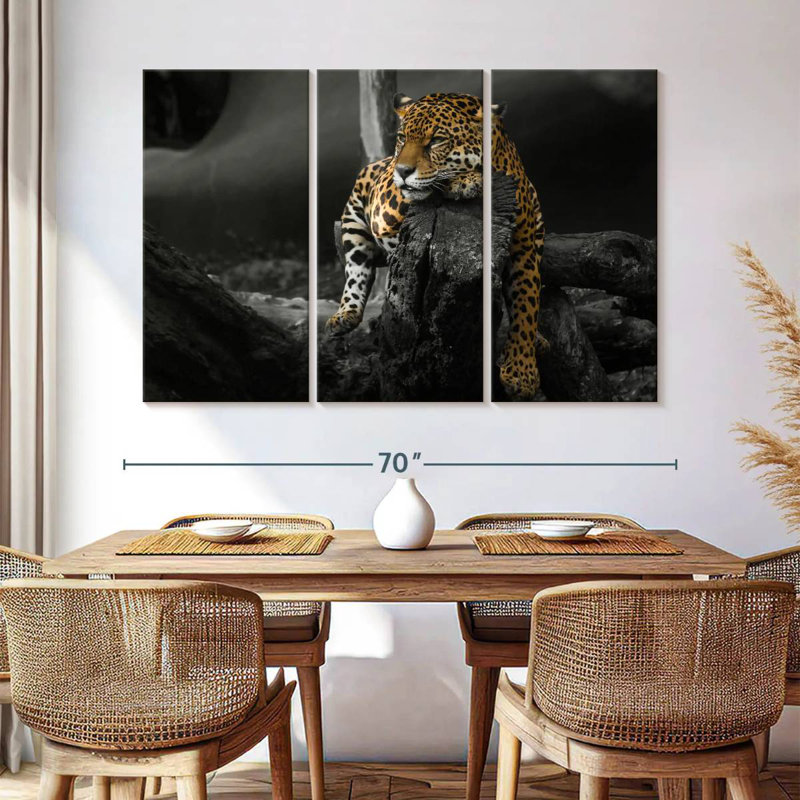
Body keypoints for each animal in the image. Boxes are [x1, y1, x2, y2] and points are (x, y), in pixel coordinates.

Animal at [325, 91, 545, 400]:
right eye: (402, 138)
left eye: (437, 140)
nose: (402, 170)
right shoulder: (387, 200)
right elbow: (426, 187)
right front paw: (466, 180)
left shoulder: (523, 248)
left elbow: (527, 303)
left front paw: (522, 373)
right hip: (356, 217)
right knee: (357, 269)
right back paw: (346, 314)